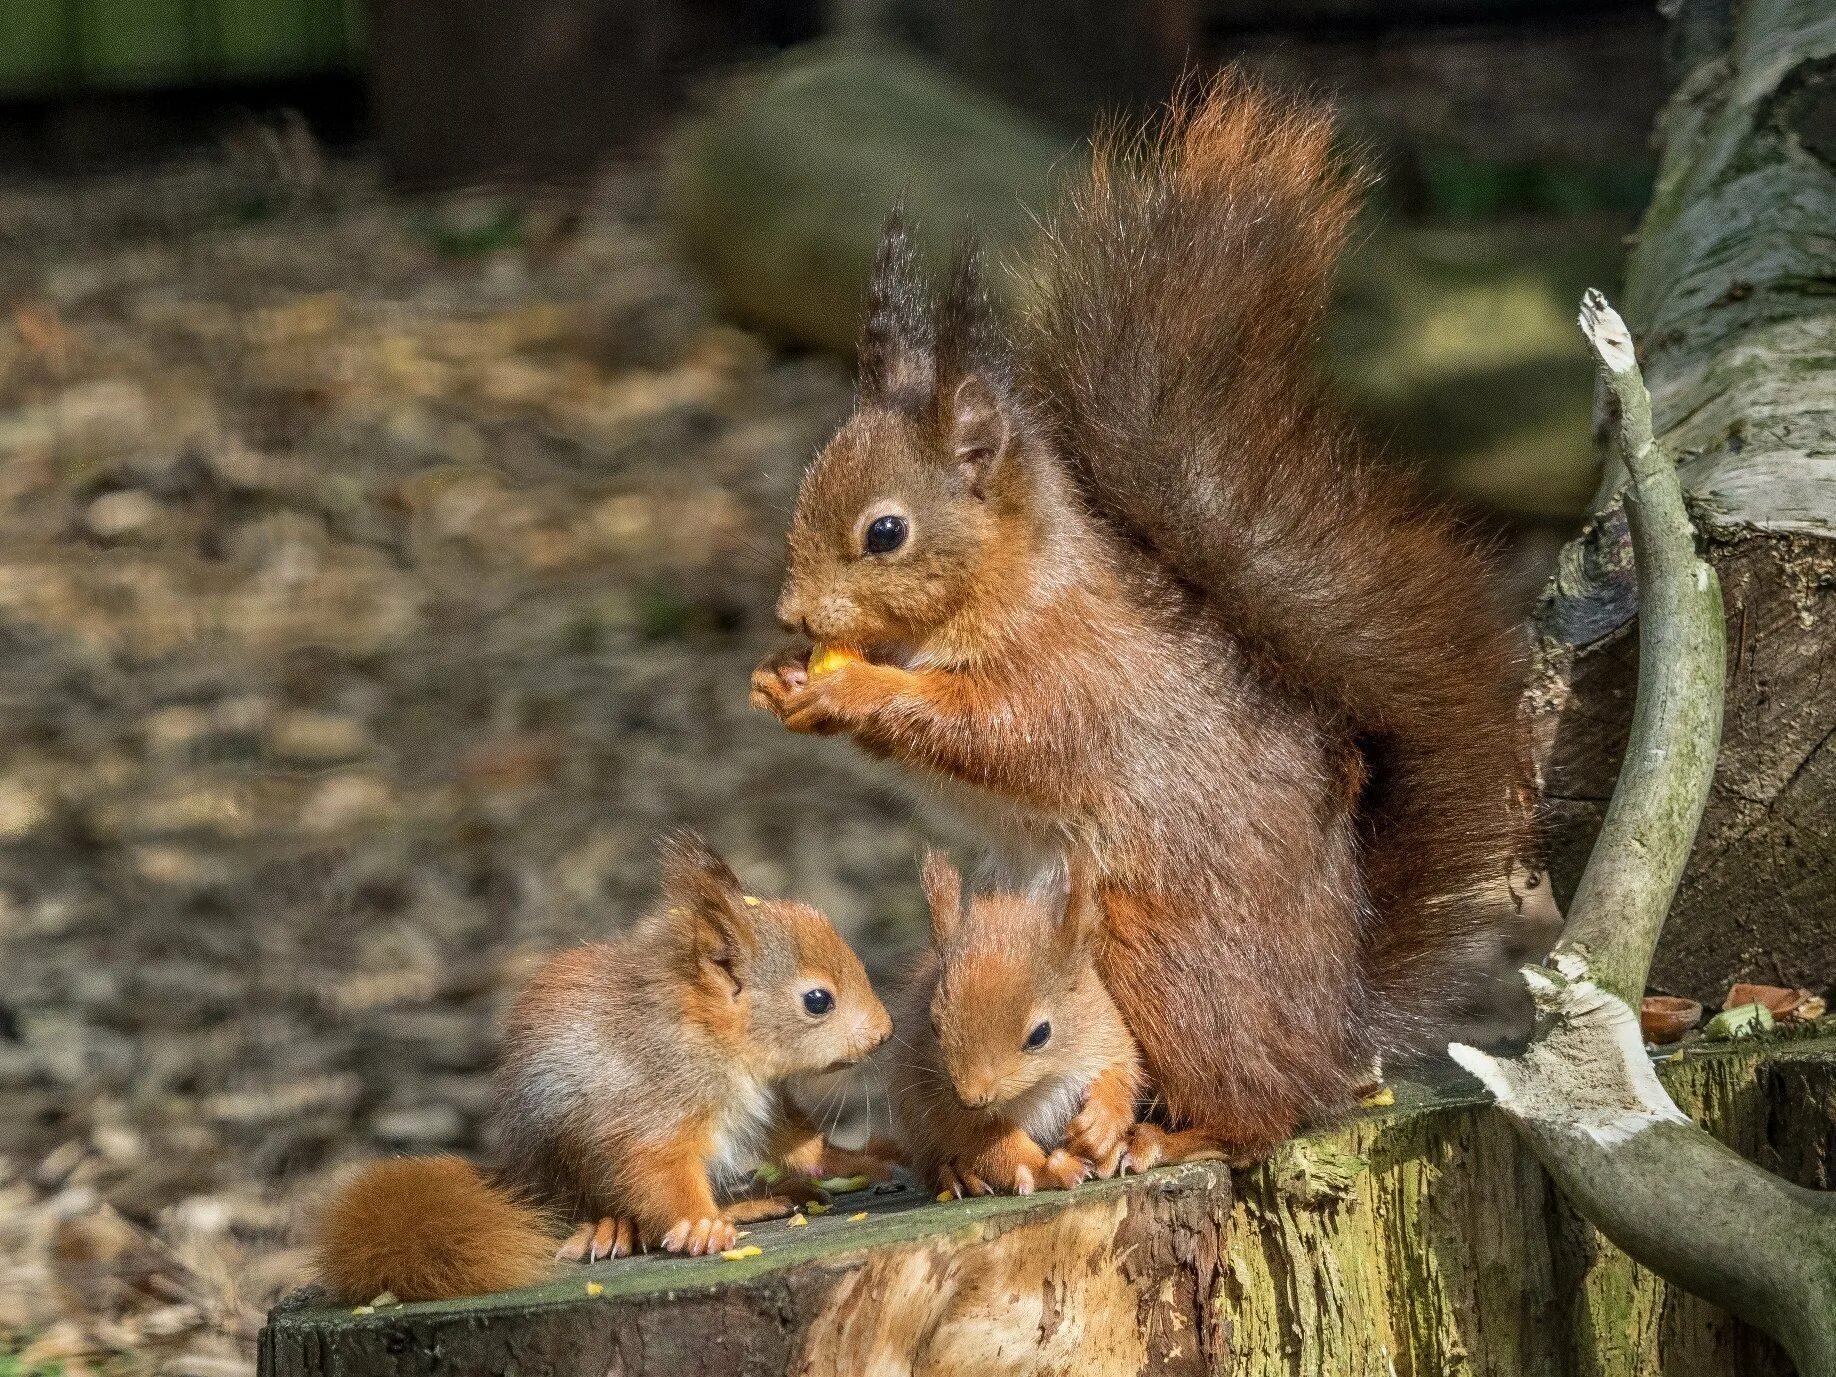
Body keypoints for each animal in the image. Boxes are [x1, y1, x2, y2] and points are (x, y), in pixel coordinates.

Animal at [752, 70, 1527, 1160]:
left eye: (886, 531)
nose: (792, 612)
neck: (1012, 586)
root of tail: (1336, 1033)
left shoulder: (1074, 676)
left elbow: (994, 730)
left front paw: (854, 686)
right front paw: (781, 679)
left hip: (1156, 956)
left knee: (1261, 1107)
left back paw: (1183, 1134)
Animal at [884, 851, 1219, 1197]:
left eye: (1040, 1034)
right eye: (934, 1026)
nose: (972, 1098)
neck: (1042, 1083)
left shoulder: (1107, 1033)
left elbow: (1121, 1073)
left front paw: (1100, 1125)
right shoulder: (943, 1106)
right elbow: (994, 1146)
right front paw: (1052, 1170)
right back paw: (959, 1175)